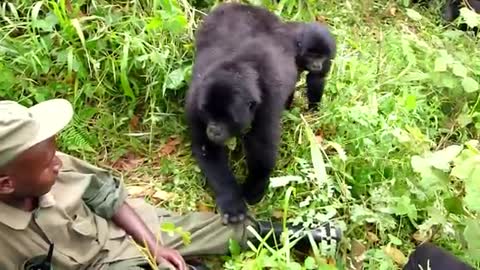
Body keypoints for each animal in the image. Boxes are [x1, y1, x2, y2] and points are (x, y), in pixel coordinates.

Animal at [186, 3, 336, 225]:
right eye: (208, 114)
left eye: (227, 118)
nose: (213, 130)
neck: (238, 68)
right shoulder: (195, 101)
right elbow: (207, 148)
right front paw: (231, 200)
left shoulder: (268, 102)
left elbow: (262, 148)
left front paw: (253, 188)